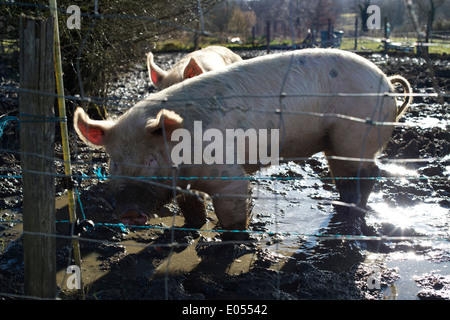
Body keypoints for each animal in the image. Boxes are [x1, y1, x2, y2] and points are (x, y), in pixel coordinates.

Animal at [74, 47, 412, 238]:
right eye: (113, 162)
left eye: (150, 159)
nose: (129, 213)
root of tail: (386, 82)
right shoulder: (186, 183)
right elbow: (191, 205)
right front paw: (187, 230)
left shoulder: (226, 173)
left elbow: (233, 206)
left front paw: (229, 241)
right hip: (338, 143)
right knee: (345, 176)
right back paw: (340, 209)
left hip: (355, 135)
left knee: (368, 174)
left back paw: (351, 216)